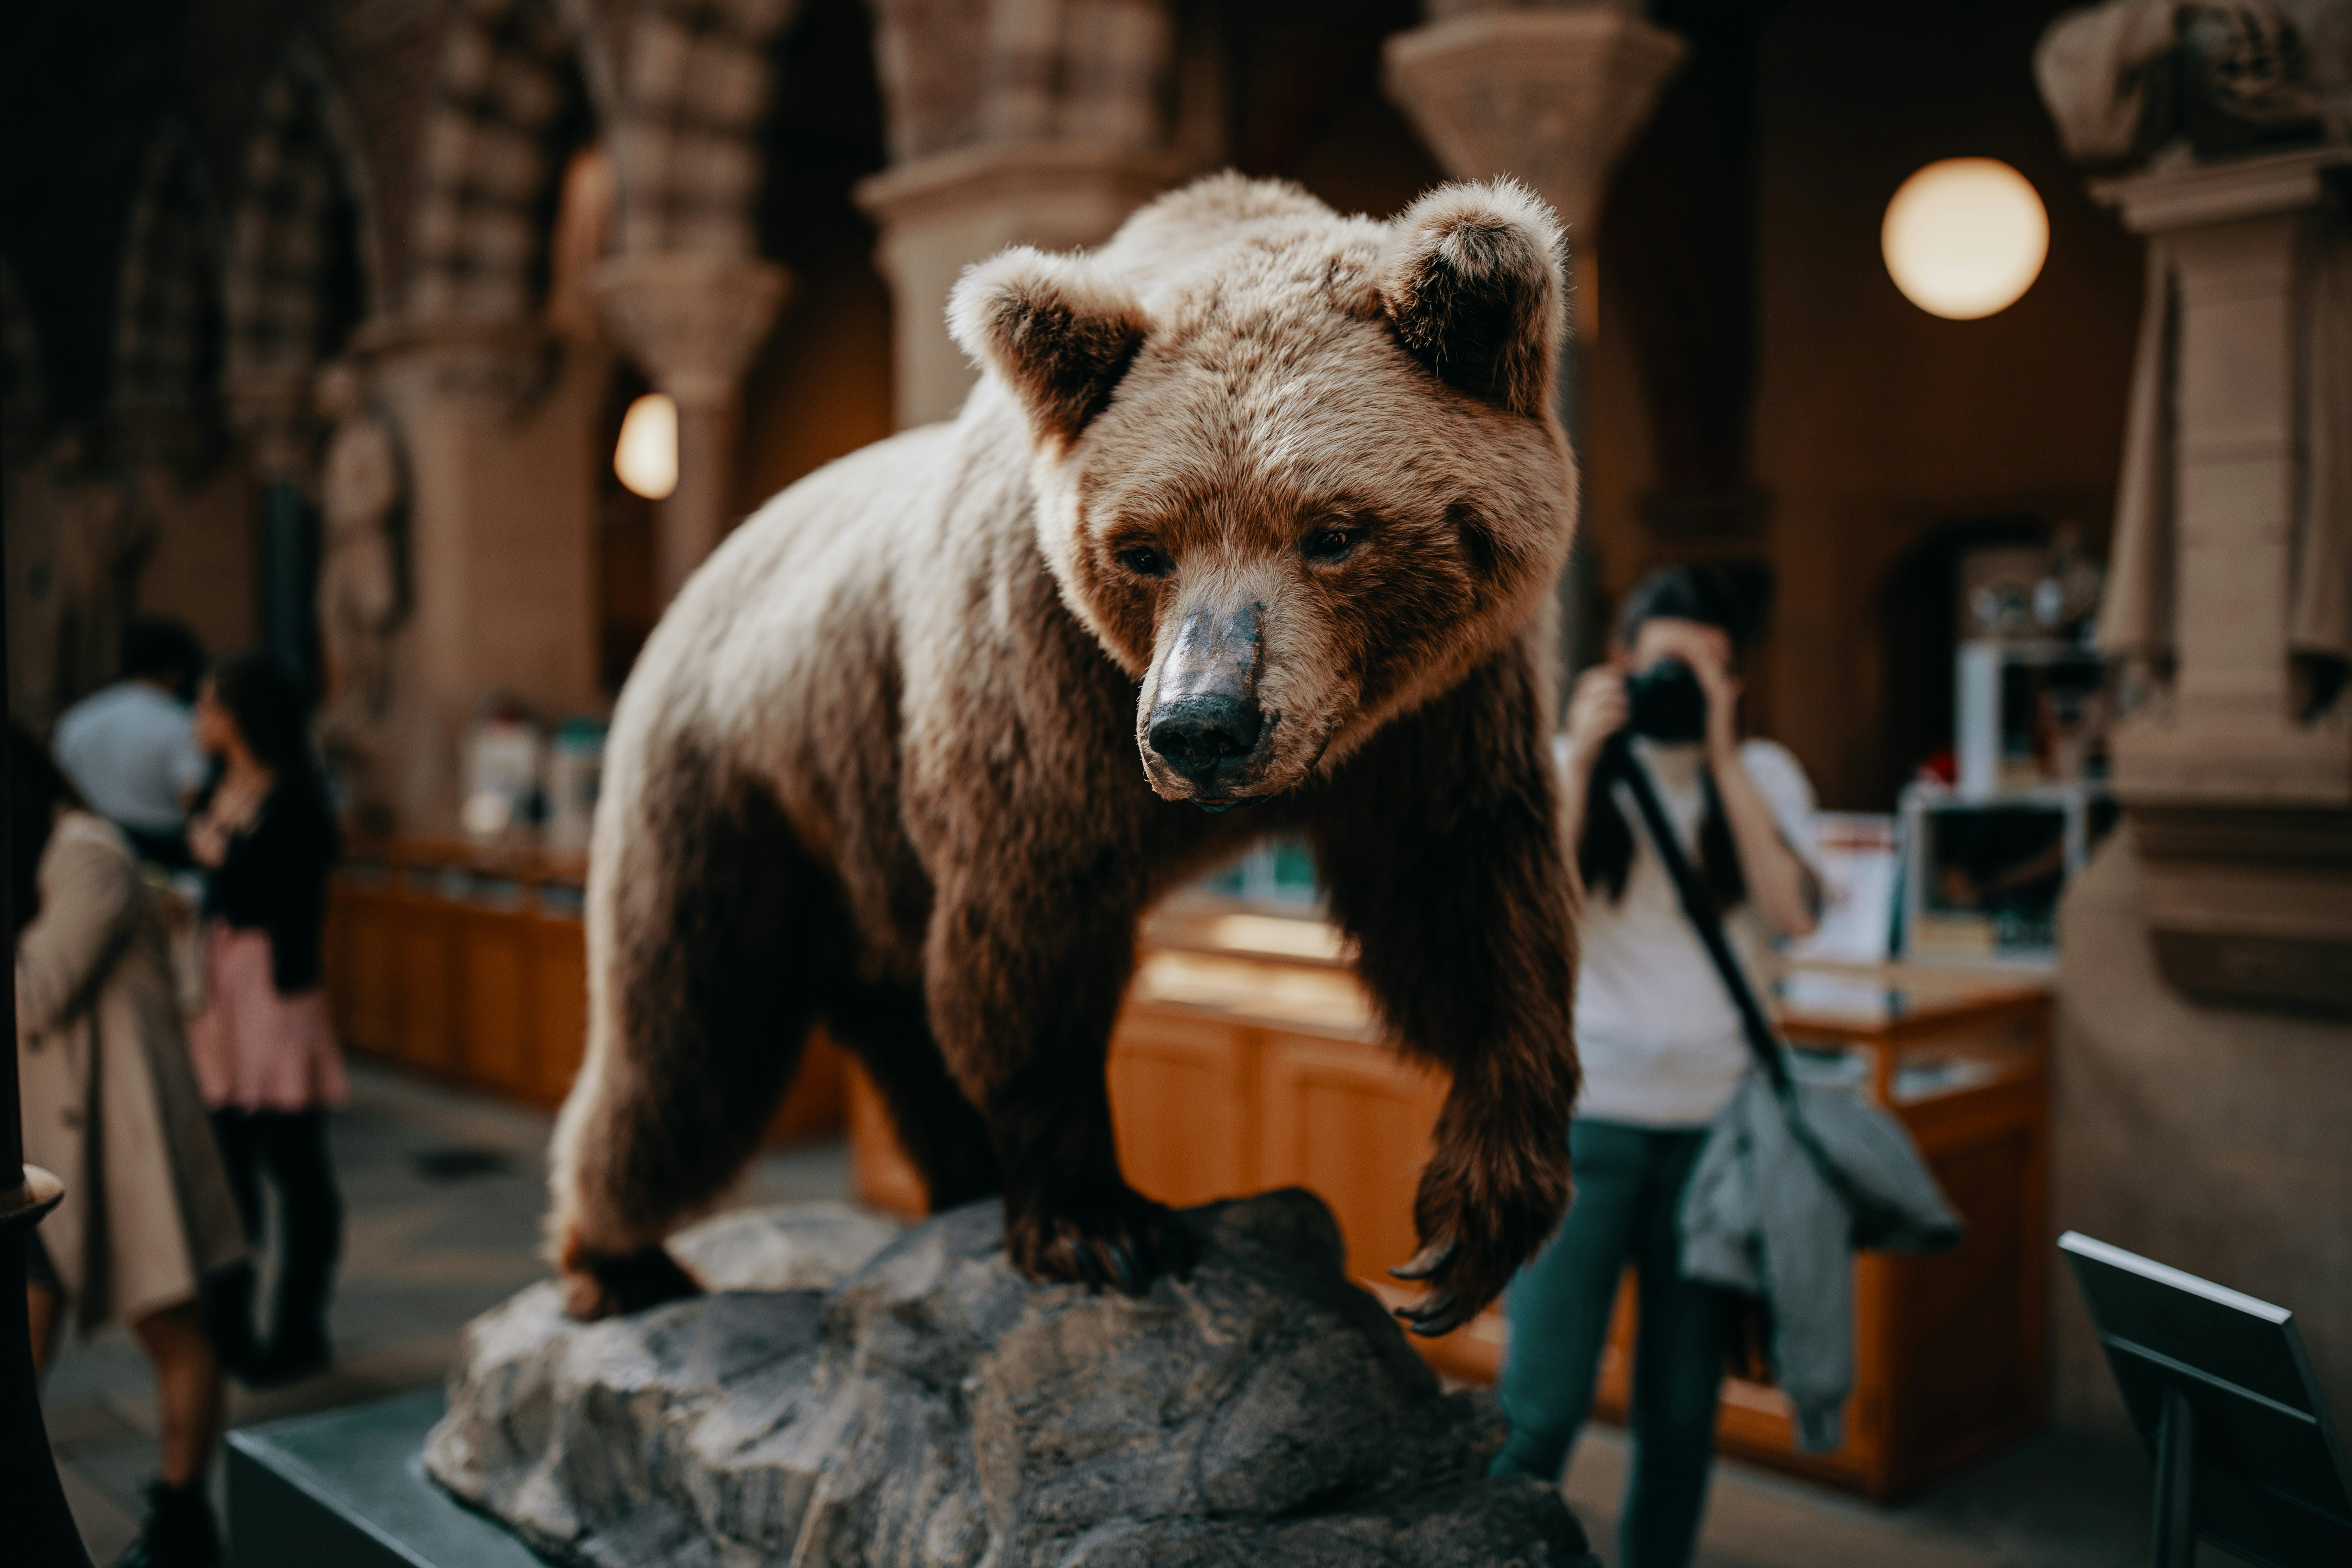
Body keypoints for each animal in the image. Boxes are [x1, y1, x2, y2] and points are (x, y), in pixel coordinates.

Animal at [548, 173, 1582, 1338]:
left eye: (1332, 532)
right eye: (1143, 548)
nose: (1201, 724)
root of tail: (708, 565)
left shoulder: (1444, 713)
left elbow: (1467, 906)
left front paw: (1472, 1222)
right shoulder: (1037, 699)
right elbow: (1028, 944)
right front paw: (1101, 1222)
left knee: (882, 1029)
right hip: (738, 785)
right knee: (691, 1038)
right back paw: (617, 1259)